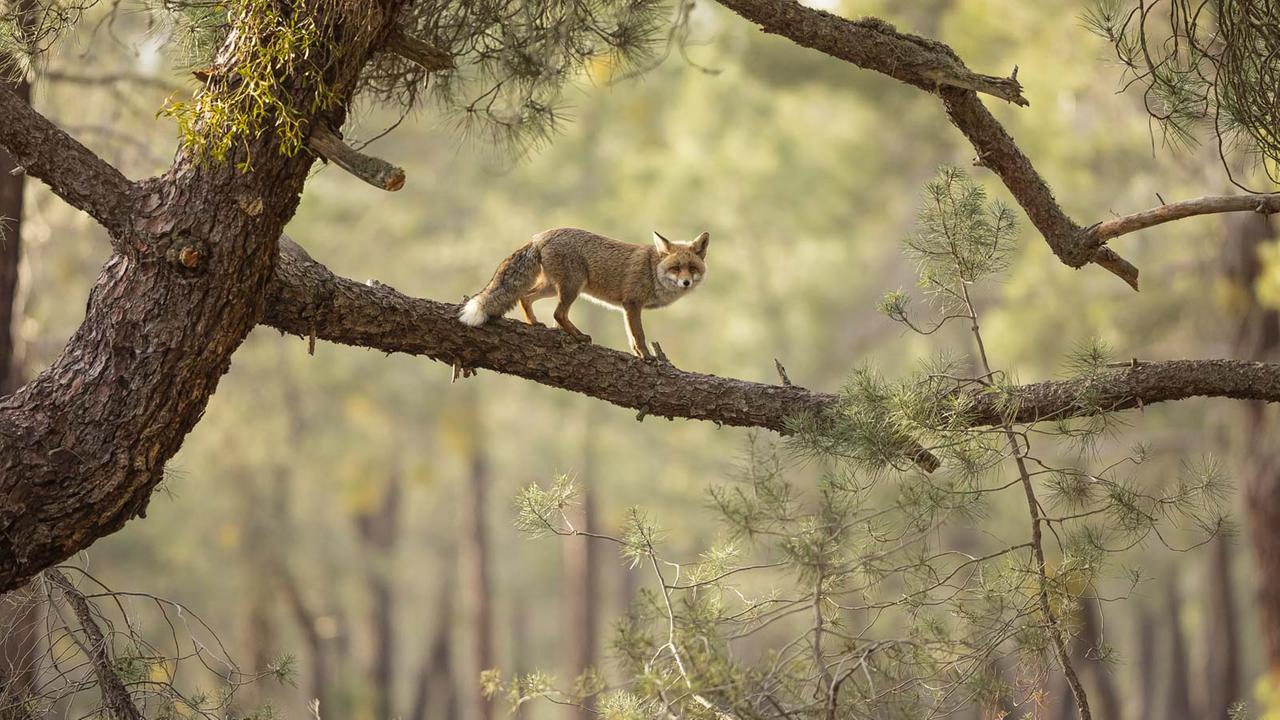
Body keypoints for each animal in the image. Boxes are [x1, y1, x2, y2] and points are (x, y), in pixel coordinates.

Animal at [458, 228, 710, 360]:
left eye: (692, 268)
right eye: (676, 268)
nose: (686, 282)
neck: (652, 270)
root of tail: (540, 235)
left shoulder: (627, 309)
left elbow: (631, 338)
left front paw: (639, 355)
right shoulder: (632, 304)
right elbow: (639, 336)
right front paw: (647, 357)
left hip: (552, 288)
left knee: (525, 297)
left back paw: (535, 323)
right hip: (572, 287)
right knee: (558, 314)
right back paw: (578, 336)